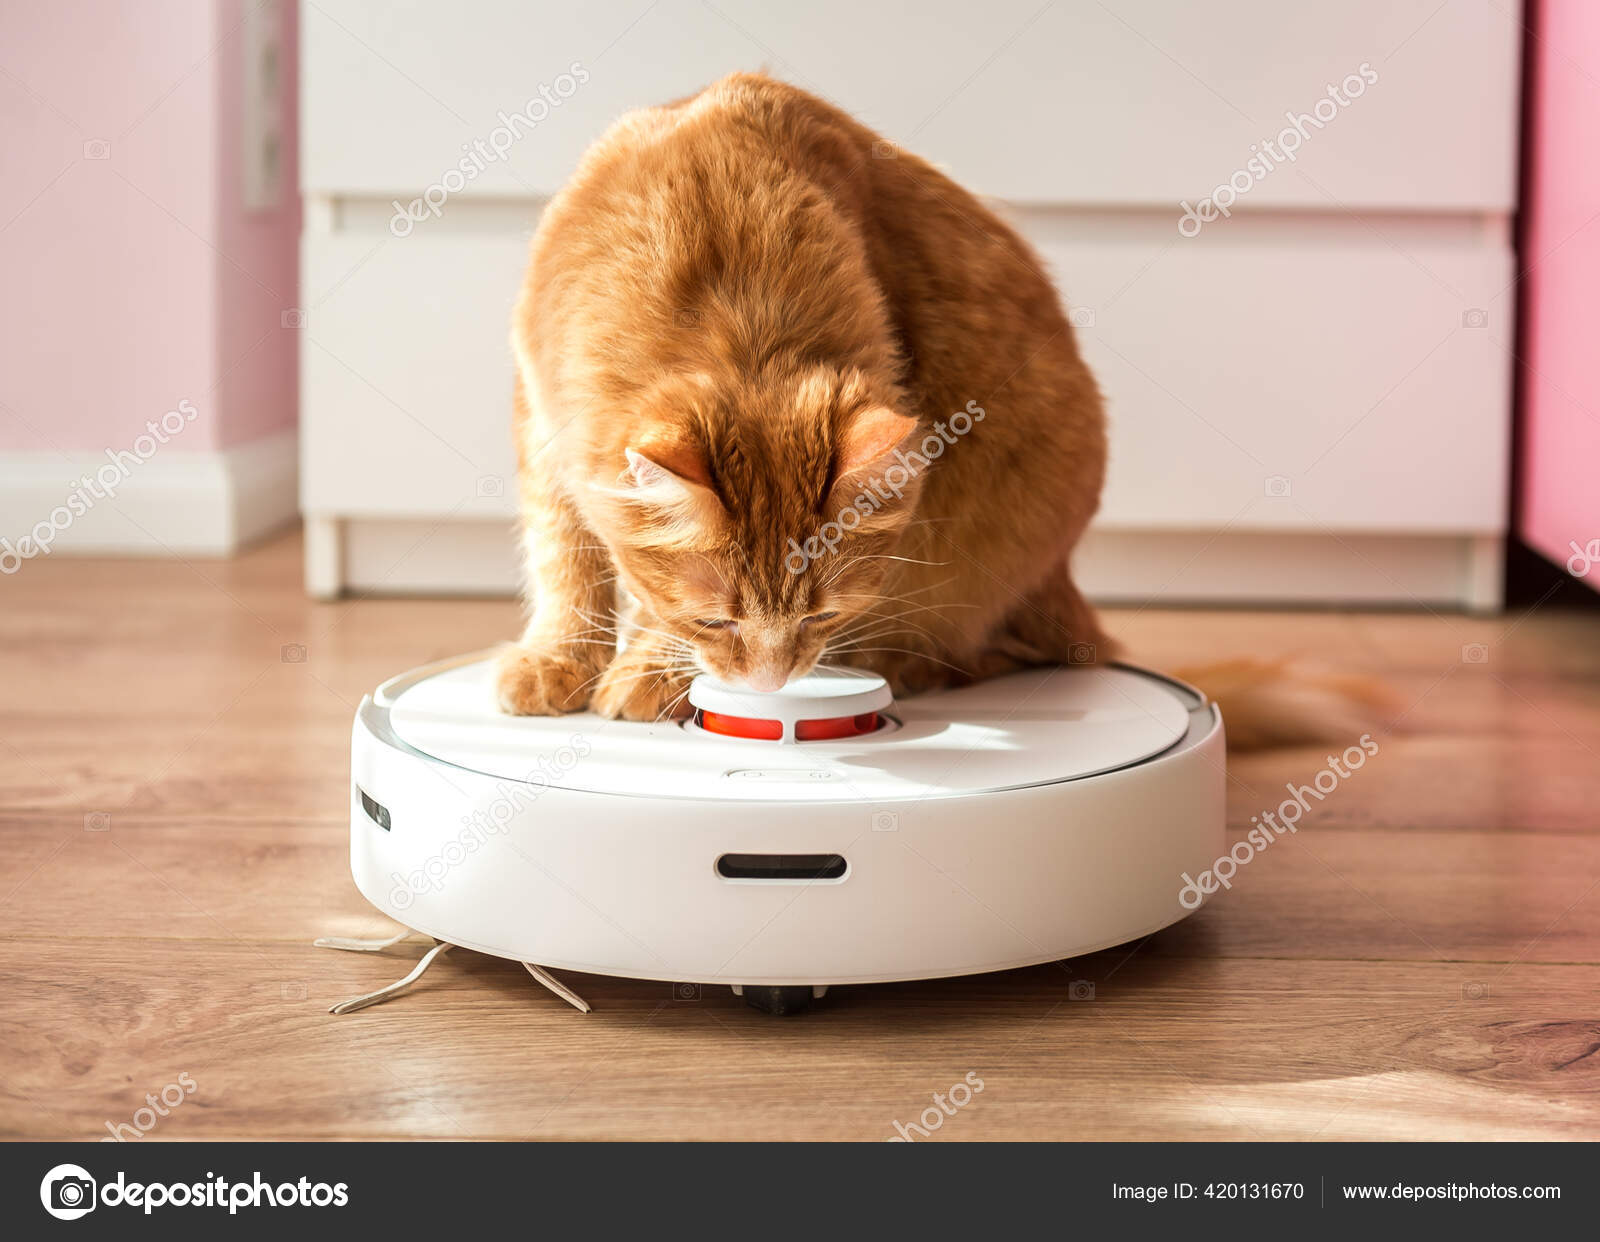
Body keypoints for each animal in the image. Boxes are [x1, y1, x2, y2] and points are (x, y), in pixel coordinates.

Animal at [499, 70, 1113, 726]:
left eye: (822, 615)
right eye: (713, 621)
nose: (768, 685)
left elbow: (633, 595)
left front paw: (649, 670)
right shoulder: (542, 419)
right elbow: (565, 561)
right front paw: (557, 657)